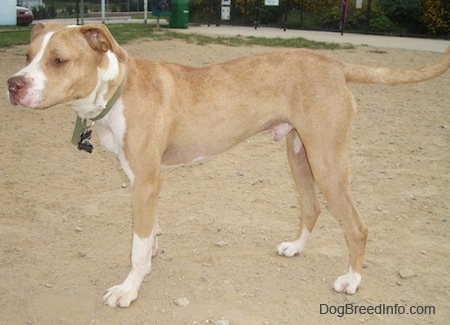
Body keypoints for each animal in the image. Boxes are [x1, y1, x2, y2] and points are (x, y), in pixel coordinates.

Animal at [7, 22, 450, 306]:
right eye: (27, 56)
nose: (13, 84)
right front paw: (146, 268)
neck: (116, 89)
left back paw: (352, 281)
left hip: (327, 160)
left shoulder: (146, 181)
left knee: (356, 226)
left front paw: (128, 290)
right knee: (312, 207)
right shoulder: (141, 180)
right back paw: (295, 248)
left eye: (59, 60)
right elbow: (149, 237)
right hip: (300, 154)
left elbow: (137, 245)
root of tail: (334, 64)